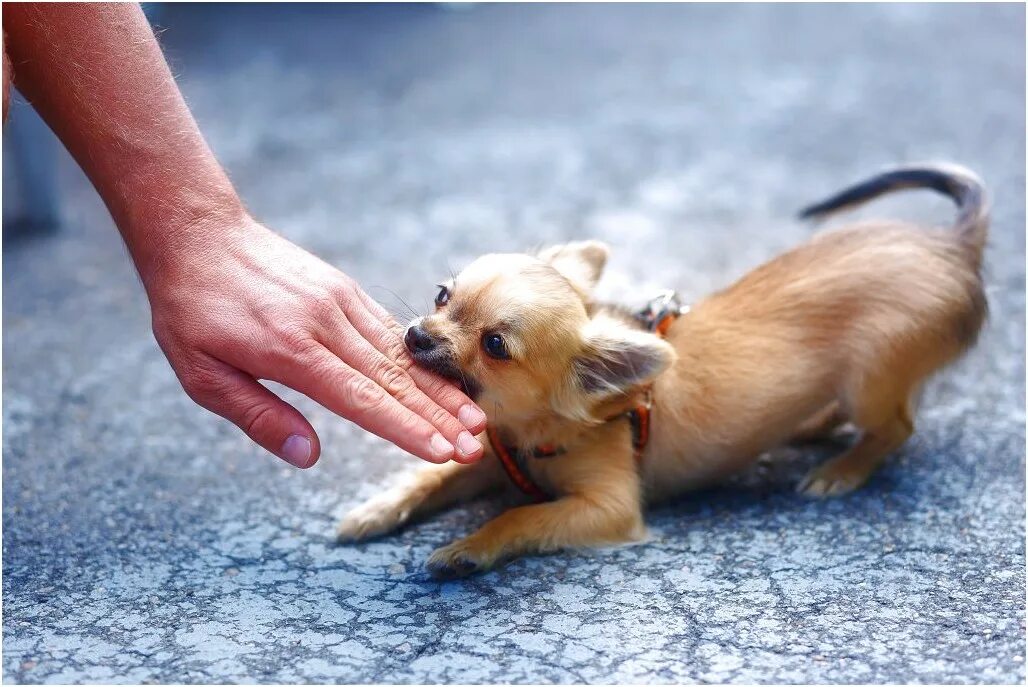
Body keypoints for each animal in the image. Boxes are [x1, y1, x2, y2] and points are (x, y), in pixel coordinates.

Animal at [337, 163, 986, 575]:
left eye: (495, 345)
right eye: (442, 295)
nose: (416, 334)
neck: (532, 432)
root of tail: (953, 246)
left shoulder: (606, 508)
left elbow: (520, 515)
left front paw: (468, 548)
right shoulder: (494, 463)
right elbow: (430, 479)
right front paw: (374, 510)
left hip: (868, 381)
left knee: (896, 427)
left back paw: (842, 468)